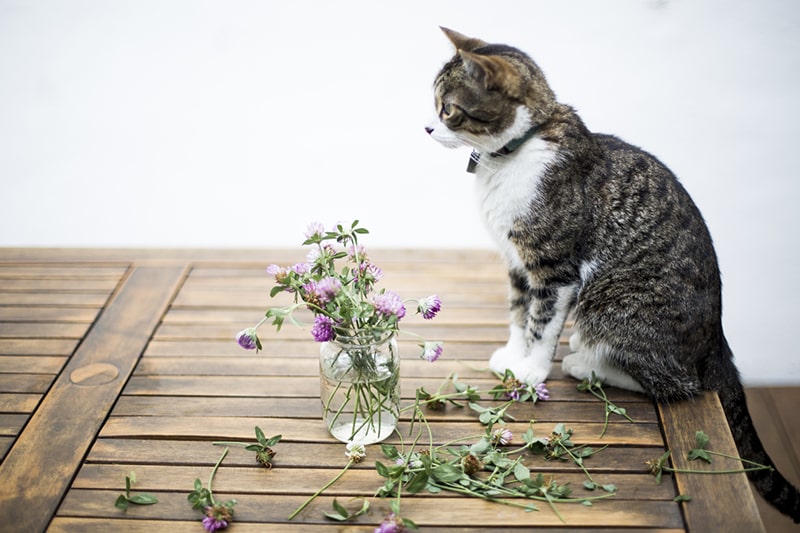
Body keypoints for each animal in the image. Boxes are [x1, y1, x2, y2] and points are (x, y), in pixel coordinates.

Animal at [424, 27, 800, 520]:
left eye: (447, 109)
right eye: (433, 104)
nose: (427, 127)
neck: (513, 155)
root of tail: (717, 342)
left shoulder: (555, 267)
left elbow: (541, 323)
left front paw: (531, 370)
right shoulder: (517, 262)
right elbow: (518, 313)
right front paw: (512, 355)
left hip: (612, 306)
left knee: (679, 384)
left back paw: (586, 364)